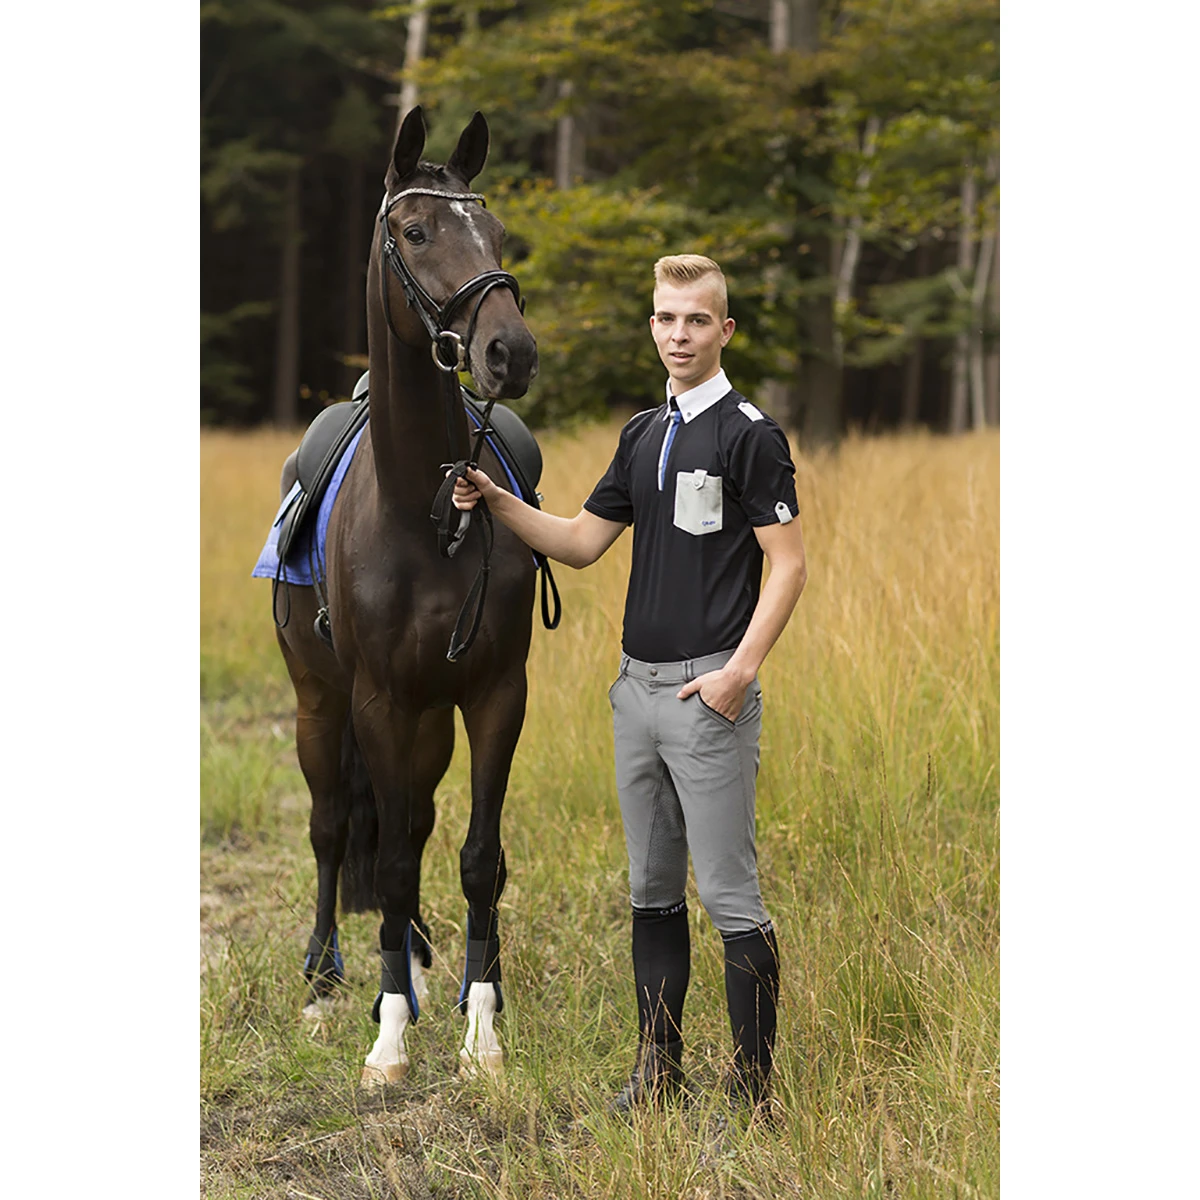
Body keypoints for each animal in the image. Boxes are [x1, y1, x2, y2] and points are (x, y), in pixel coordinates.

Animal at [269, 107, 540, 1086]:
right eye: (416, 233)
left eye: (496, 232)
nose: (509, 350)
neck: (425, 514)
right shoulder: (379, 701)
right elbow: (380, 863)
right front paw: (387, 1038)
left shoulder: (495, 694)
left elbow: (477, 857)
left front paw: (481, 1028)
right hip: (322, 704)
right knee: (335, 828)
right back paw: (324, 982)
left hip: (428, 719)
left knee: (412, 823)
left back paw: (422, 962)